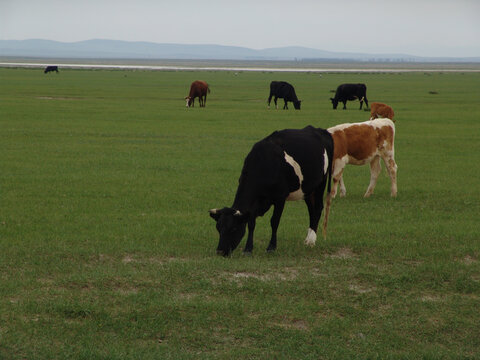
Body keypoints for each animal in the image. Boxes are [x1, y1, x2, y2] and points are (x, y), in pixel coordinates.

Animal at [210, 126, 334, 256]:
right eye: (218, 228)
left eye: (233, 229)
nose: (220, 251)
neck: (265, 162)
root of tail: (319, 130)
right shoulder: (256, 201)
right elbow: (251, 224)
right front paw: (248, 249)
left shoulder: (280, 198)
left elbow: (274, 221)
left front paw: (271, 247)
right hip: (307, 189)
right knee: (312, 210)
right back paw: (307, 239)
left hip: (321, 182)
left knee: (318, 208)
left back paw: (311, 240)